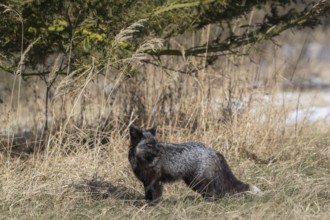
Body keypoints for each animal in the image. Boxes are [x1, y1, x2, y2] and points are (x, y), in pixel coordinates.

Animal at [127, 126, 262, 204]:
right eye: (149, 145)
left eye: (156, 143)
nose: (160, 152)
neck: (142, 161)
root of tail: (213, 150)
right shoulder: (147, 182)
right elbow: (148, 195)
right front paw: (146, 205)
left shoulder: (155, 181)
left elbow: (155, 196)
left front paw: (152, 207)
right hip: (193, 182)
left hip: (198, 182)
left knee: (212, 193)